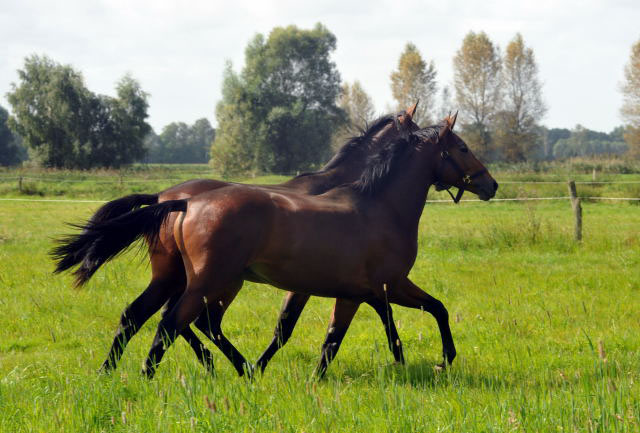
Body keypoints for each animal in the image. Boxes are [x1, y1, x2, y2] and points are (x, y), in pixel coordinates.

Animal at [57, 112, 498, 378]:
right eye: (462, 148)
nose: (491, 185)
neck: (379, 205)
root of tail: (180, 201)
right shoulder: (387, 286)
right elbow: (414, 320)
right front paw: (438, 363)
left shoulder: (357, 293)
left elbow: (335, 337)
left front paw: (315, 379)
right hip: (211, 281)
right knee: (174, 322)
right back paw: (161, 375)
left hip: (178, 277)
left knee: (142, 316)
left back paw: (116, 373)